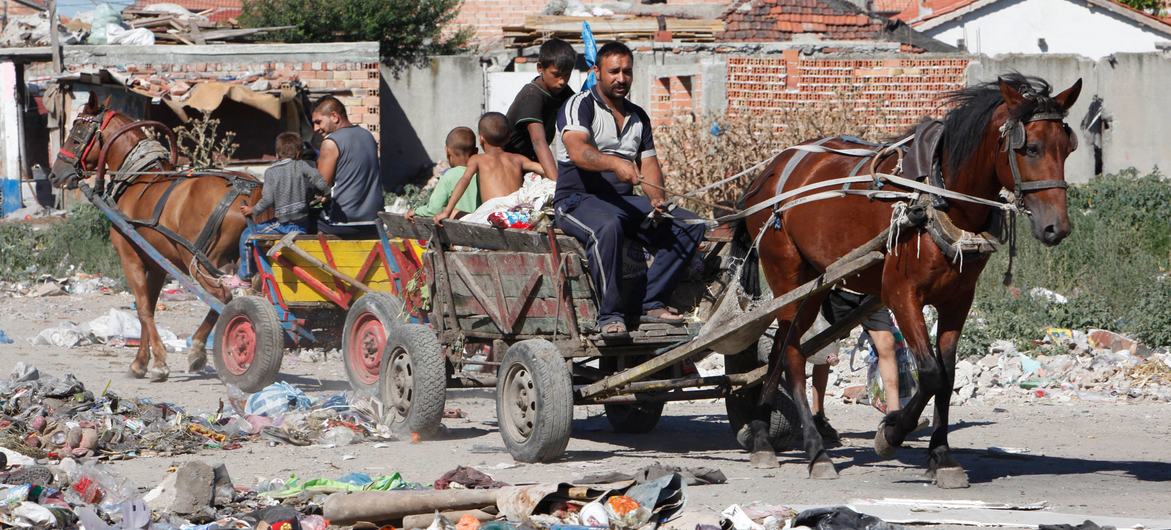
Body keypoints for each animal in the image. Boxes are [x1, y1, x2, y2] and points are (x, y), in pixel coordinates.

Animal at [49, 94, 258, 381]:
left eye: (78, 130)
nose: (55, 173)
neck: (138, 179)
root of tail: (247, 194)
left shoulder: (131, 258)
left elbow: (143, 307)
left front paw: (158, 362)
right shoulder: (158, 263)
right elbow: (148, 305)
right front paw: (140, 362)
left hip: (203, 262)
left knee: (224, 298)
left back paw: (201, 348)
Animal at [735, 75, 1082, 486]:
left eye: (1068, 147)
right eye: (1030, 147)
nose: (1056, 228)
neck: (939, 197)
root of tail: (769, 172)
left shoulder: (958, 299)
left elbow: (947, 376)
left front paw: (942, 457)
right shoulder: (901, 294)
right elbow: (930, 373)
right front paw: (891, 433)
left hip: (815, 286)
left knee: (779, 351)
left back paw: (761, 436)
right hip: (786, 276)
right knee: (790, 355)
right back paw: (816, 452)